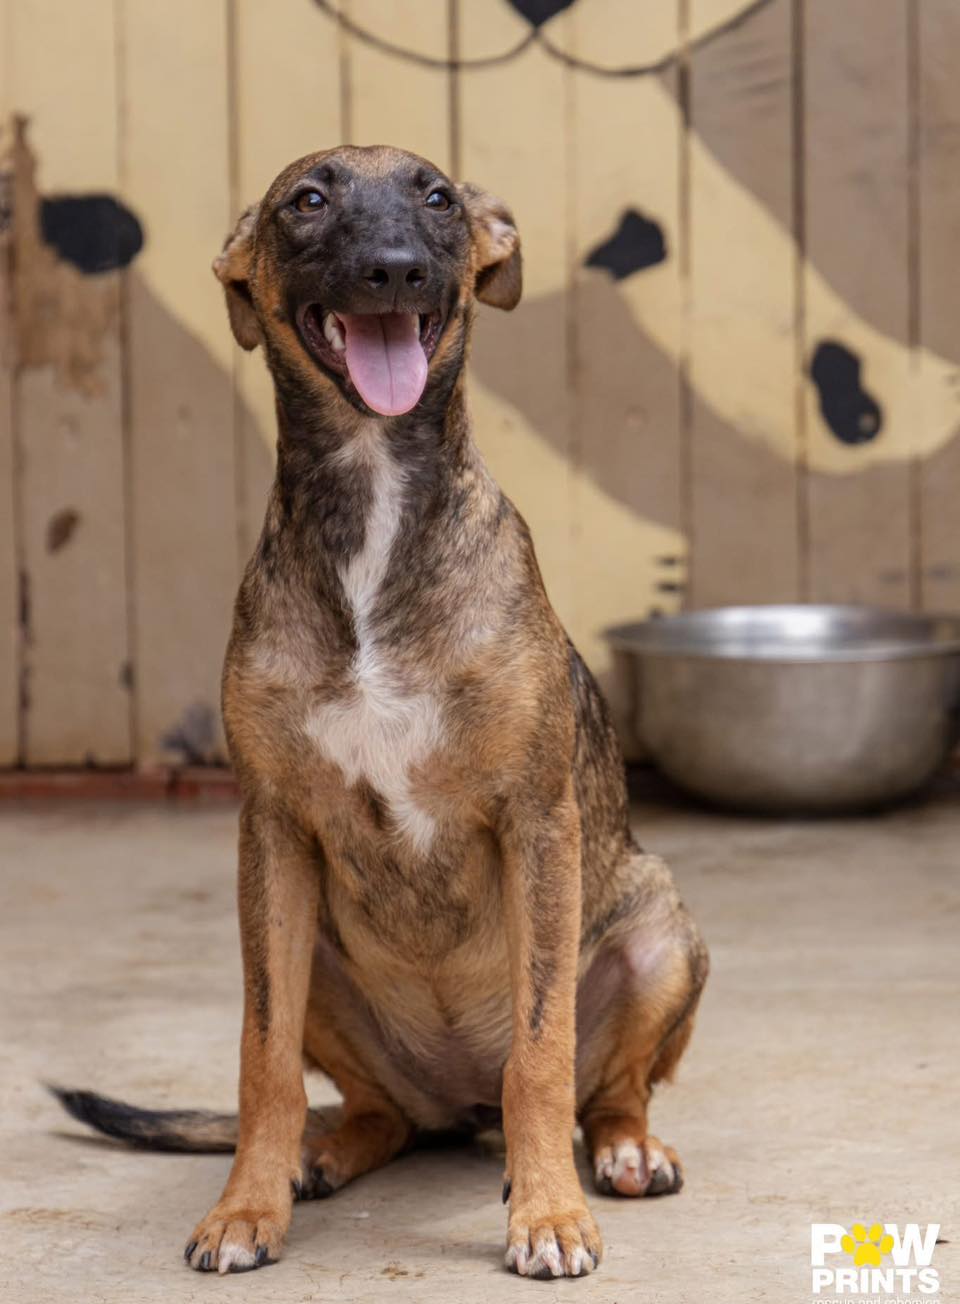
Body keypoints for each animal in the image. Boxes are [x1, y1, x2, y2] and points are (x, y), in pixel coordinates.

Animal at [55, 145, 708, 1280]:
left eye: (437, 197)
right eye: (307, 200)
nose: (396, 269)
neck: (373, 502)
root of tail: (457, 1102)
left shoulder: (538, 822)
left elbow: (540, 1050)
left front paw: (549, 1213)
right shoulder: (271, 833)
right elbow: (260, 1061)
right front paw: (245, 1205)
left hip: (663, 929)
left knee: (600, 1089)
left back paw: (621, 1153)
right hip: (305, 950)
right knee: (374, 1110)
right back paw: (323, 1152)